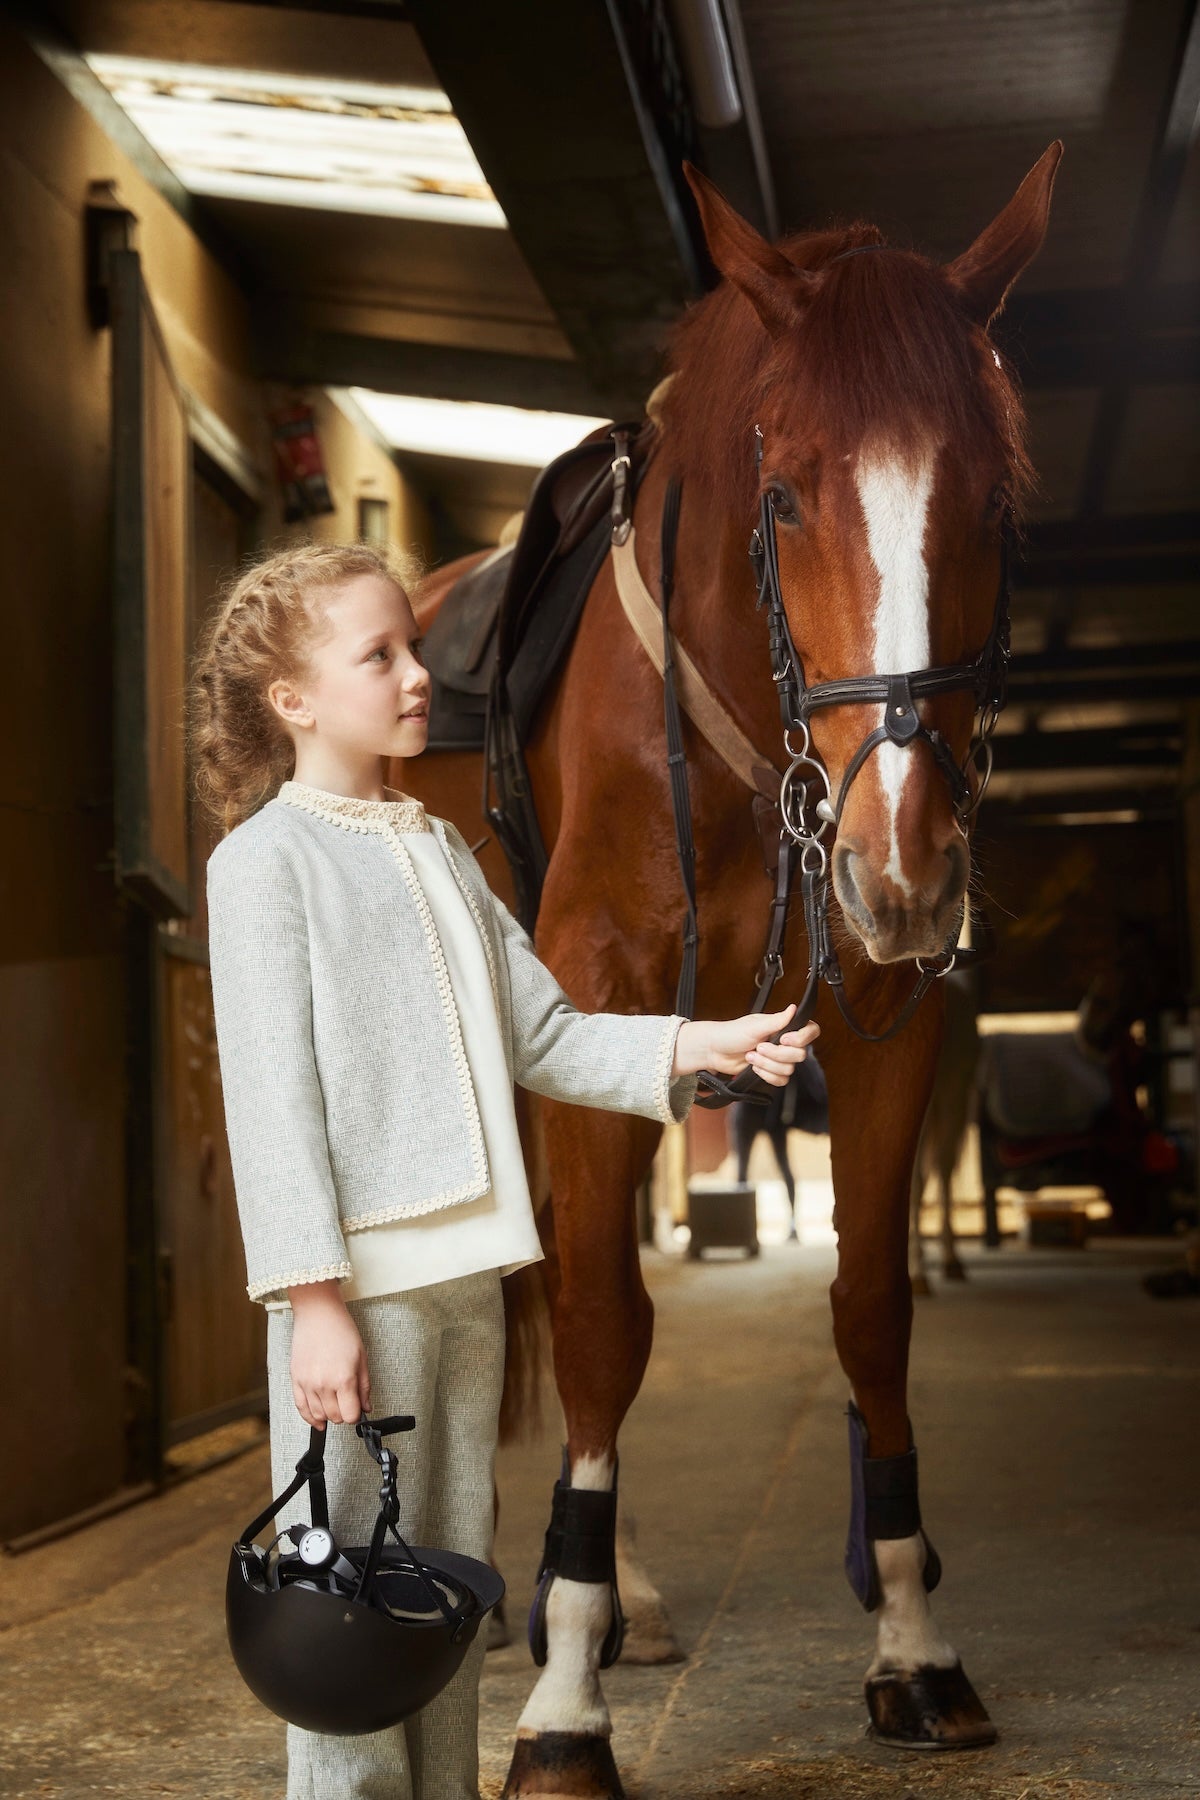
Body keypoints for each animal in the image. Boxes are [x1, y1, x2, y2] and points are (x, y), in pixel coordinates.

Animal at [401, 147, 1057, 1792]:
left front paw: (911, 1642)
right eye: (785, 494)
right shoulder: (603, 1010)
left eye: (995, 498)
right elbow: (600, 1328)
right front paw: (565, 1704)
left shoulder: (881, 1023)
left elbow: (870, 1309)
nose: (906, 869)